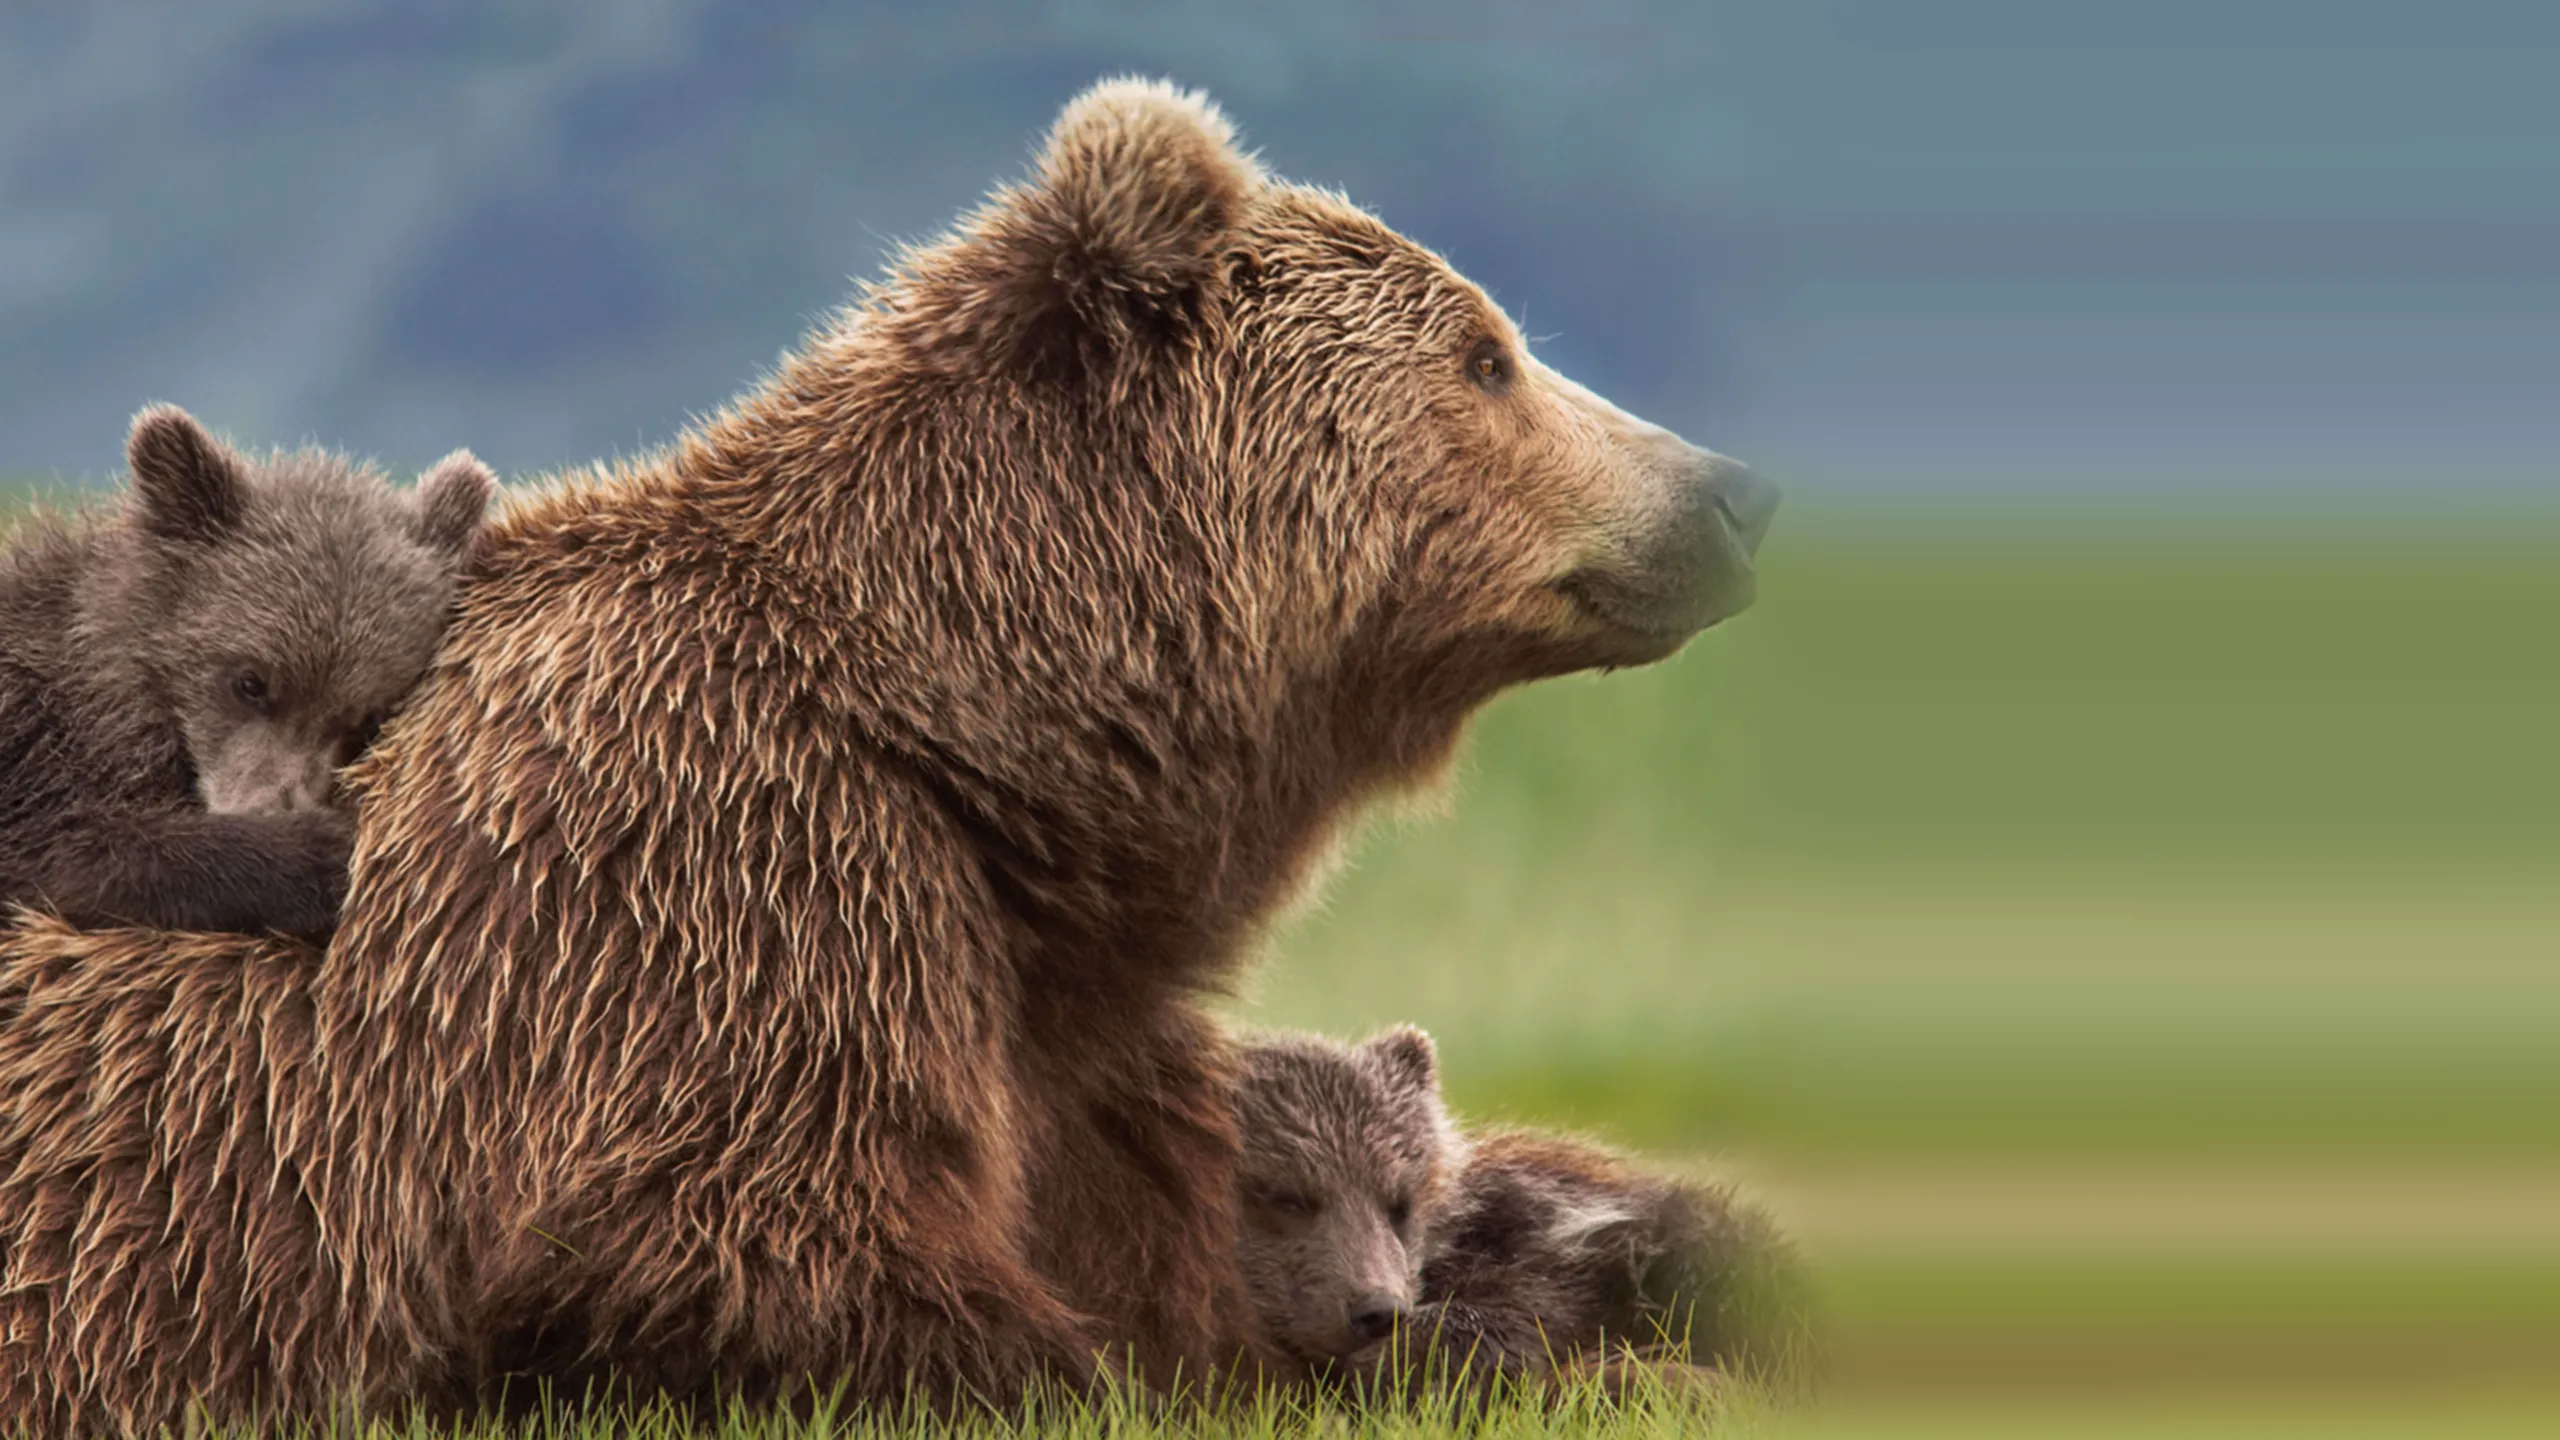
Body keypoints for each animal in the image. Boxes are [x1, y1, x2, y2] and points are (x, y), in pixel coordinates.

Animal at [0, 405, 495, 938]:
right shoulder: (32, 749)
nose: (271, 807)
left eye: (363, 718)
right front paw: (320, 852)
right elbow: (64, 846)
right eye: (251, 682)